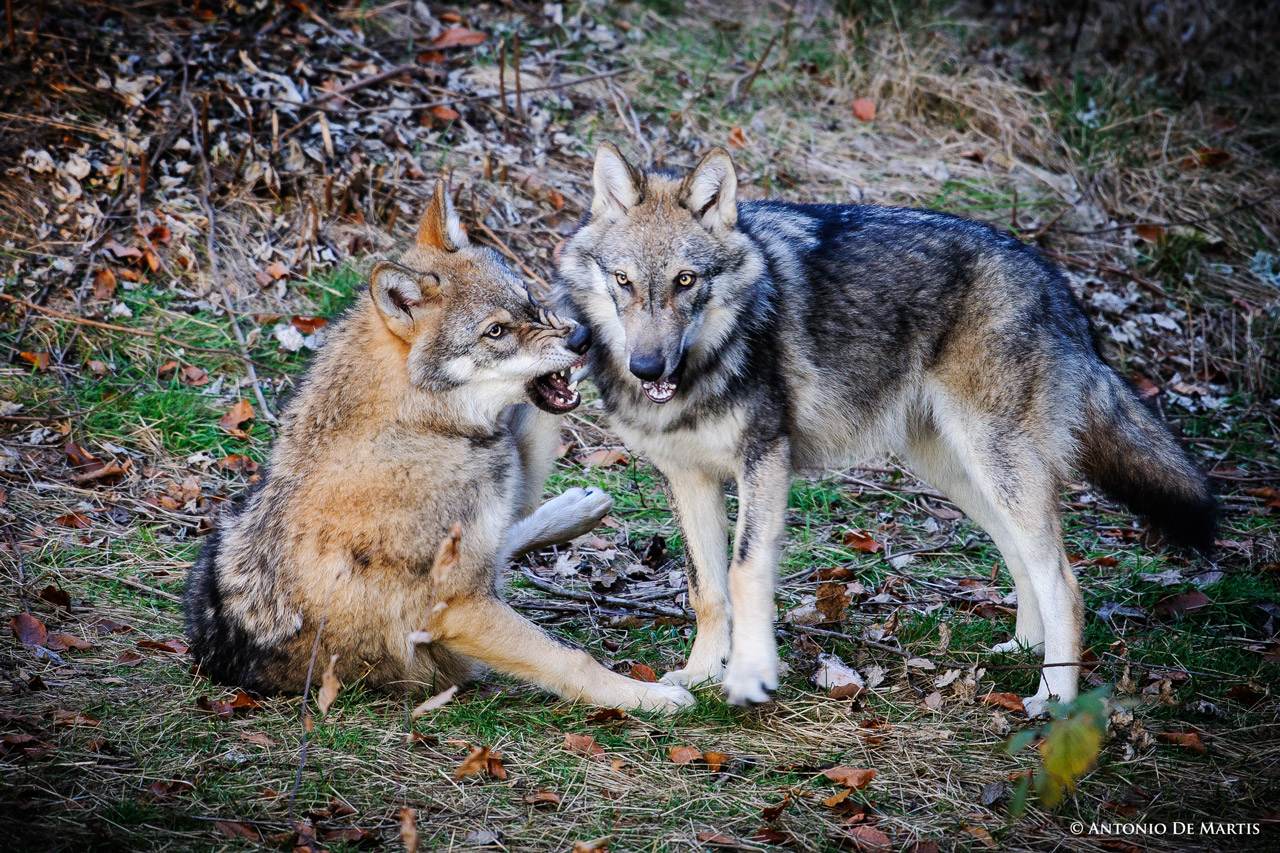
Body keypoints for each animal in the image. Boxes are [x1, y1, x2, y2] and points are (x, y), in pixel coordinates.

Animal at [184, 182, 694, 713]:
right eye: (495, 331)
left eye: (529, 301)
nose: (582, 337)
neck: (419, 425)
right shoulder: (458, 607)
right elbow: (575, 661)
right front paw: (650, 696)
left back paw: (578, 506)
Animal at [554, 143, 1214, 715]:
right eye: (623, 281)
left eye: (685, 281)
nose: (647, 367)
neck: (706, 366)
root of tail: (1056, 283)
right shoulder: (689, 477)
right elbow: (706, 589)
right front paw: (697, 674)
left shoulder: (764, 460)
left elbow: (745, 573)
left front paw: (748, 675)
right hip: (959, 473)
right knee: (1021, 558)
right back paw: (1024, 649)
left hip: (996, 462)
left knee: (1067, 586)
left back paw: (1053, 698)